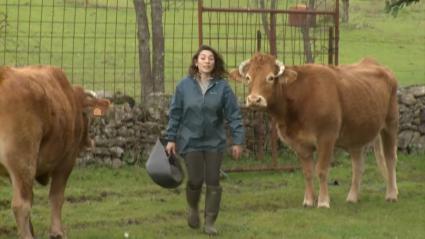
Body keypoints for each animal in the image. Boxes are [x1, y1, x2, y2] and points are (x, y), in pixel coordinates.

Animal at [0, 64, 111, 238]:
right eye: (86, 116)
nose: (89, 142)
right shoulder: (66, 162)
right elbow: (56, 197)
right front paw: (57, 231)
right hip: (23, 164)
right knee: (21, 206)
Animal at [229, 53, 398, 208]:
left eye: (270, 77)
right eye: (248, 78)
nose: (254, 100)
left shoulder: (326, 138)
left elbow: (321, 170)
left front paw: (323, 201)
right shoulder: (299, 144)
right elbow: (308, 172)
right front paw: (309, 200)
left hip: (390, 125)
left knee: (390, 158)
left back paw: (391, 194)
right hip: (357, 134)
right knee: (358, 165)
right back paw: (352, 197)